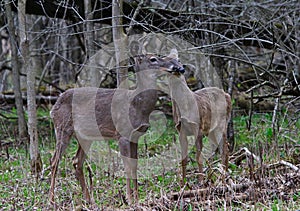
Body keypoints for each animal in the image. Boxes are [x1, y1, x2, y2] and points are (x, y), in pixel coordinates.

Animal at [48, 48, 185, 205]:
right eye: (153, 59)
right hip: (62, 128)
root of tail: (53, 108)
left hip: (85, 136)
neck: (137, 105)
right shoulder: (122, 134)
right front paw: (129, 199)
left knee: (77, 161)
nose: (177, 67)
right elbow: (127, 167)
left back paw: (89, 200)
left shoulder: (135, 136)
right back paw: (51, 199)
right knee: (54, 161)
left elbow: (134, 166)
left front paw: (137, 198)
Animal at [165, 49, 231, 183]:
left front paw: (200, 181)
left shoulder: (198, 128)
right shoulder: (180, 130)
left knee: (225, 150)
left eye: (179, 59)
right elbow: (184, 159)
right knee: (220, 148)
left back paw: (222, 178)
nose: (180, 69)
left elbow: (198, 157)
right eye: (166, 60)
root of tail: (228, 95)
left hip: (222, 124)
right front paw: (183, 183)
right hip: (212, 130)